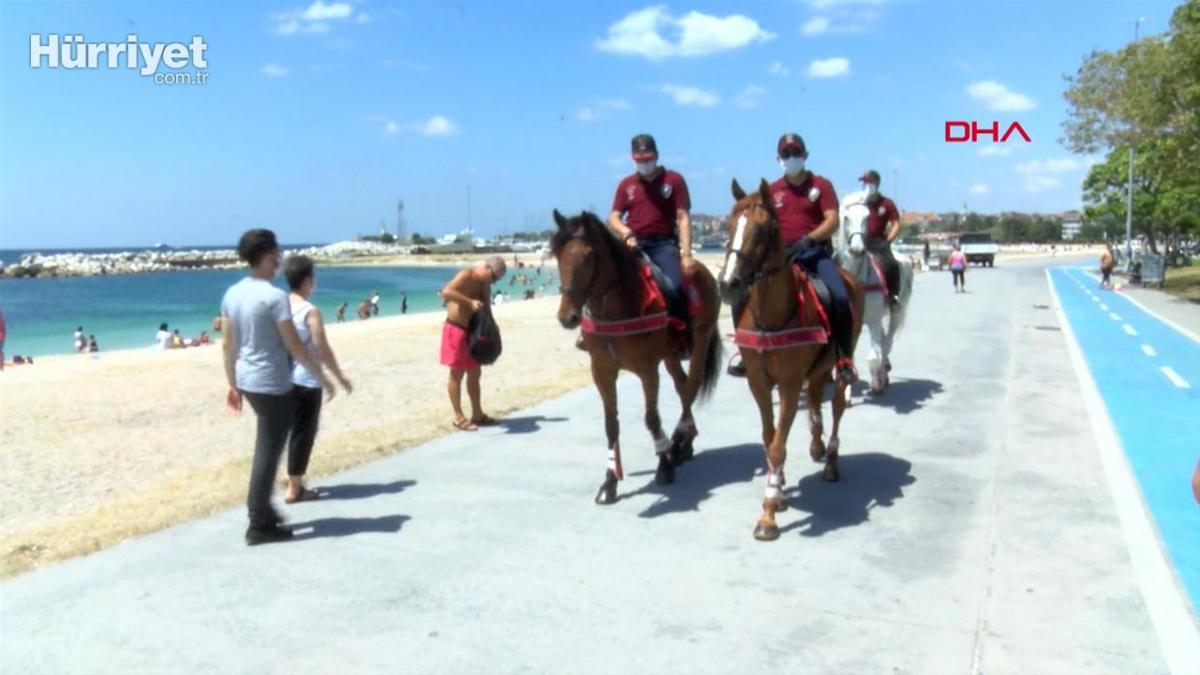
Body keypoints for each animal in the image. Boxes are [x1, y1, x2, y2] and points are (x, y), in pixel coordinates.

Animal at [552, 207, 720, 502]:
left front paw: (664, 466)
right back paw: (684, 444)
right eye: (558, 255)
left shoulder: (647, 370)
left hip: (700, 342)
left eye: (589, 256)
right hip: (671, 354)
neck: (616, 309)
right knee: (682, 385)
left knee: (691, 387)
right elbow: (611, 424)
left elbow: (651, 418)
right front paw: (610, 482)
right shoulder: (602, 371)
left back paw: (680, 440)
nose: (567, 317)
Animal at [715, 178, 868, 540]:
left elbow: (777, 445)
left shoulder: (787, 383)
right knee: (814, 401)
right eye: (728, 226)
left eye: (760, 230)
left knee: (836, 405)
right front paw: (780, 489)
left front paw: (769, 512)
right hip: (816, 371)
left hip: (841, 361)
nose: (727, 285)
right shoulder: (759, 383)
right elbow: (769, 436)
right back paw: (817, 444)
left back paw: (830, 460)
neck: (772, 314)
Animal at [835, 189, 907, 391]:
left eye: (867, 217)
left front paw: (876, 384)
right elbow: (848, 357)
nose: (857, 248)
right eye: (846, 217)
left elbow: (874, 357)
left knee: (886, 342)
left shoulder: (874, 320)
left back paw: (883, 374)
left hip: (896, 311)